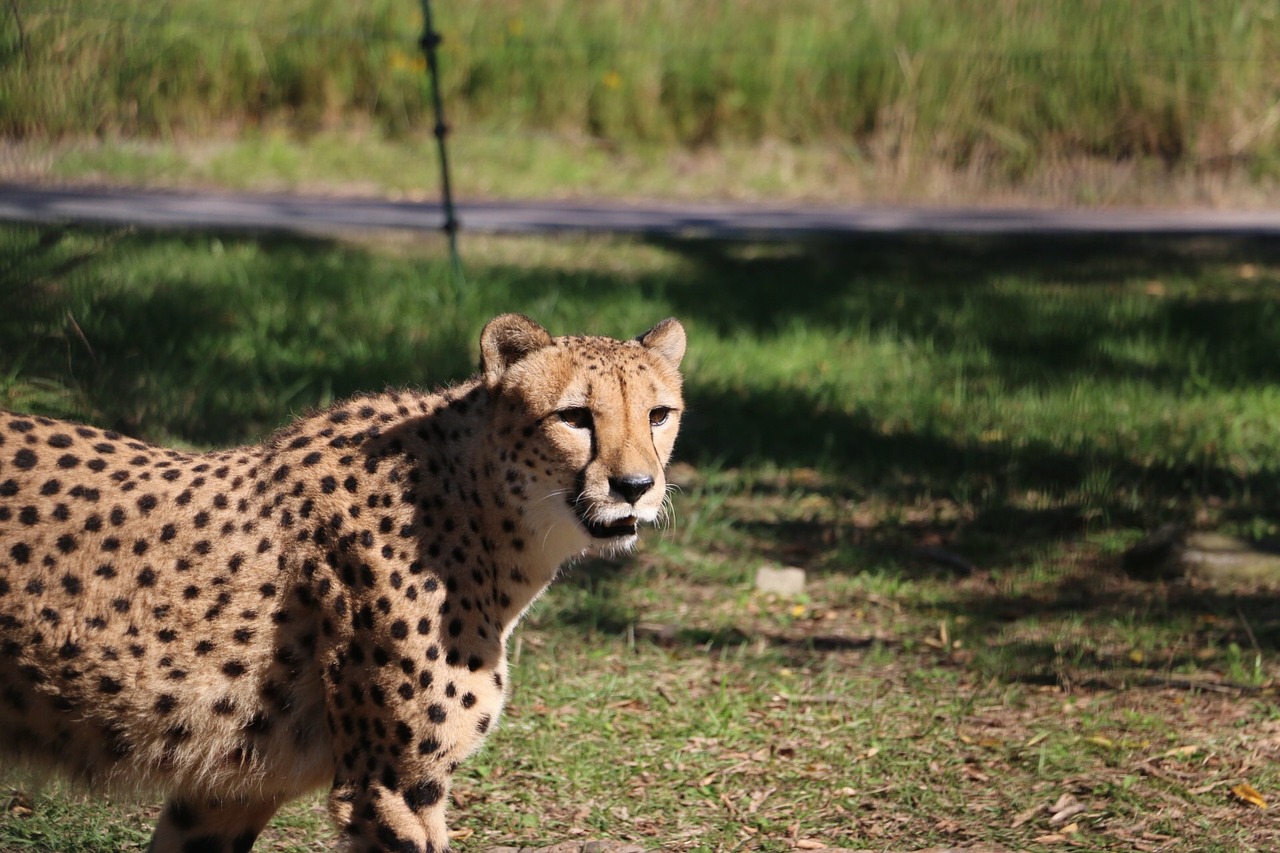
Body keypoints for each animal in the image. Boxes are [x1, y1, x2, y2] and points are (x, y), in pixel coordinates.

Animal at [0, 313, 691, 850]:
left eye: (659, 414)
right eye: (575, 417)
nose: (635, 486)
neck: (483, 508)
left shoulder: (228, 789)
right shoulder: (389, 786)